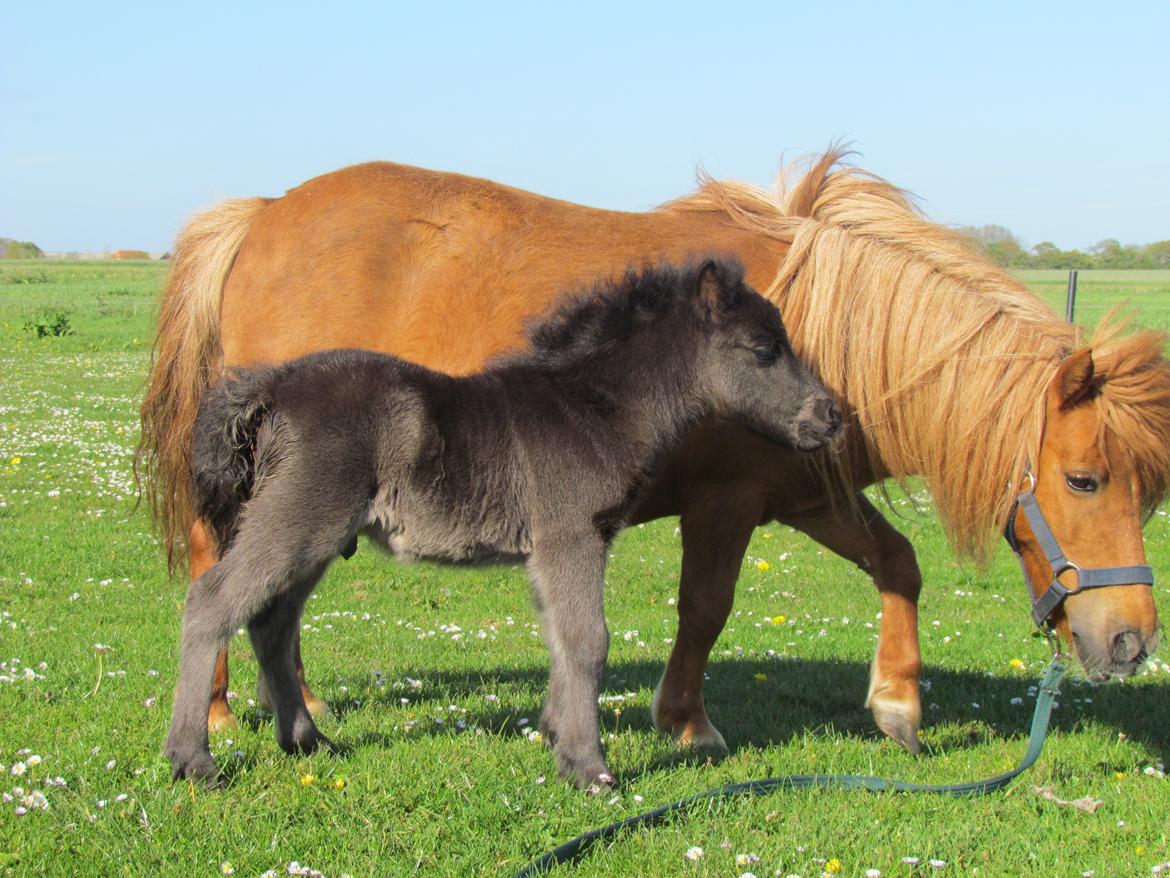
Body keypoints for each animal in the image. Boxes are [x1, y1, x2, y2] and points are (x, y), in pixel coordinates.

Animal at [139, 148, 1170, 753]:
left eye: (1146, 496)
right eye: (1083, 479)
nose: (1129, 643)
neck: (823, 332)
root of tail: (262, 212)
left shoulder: (806, 492)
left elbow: (898, 563)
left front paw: (898, 705)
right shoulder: (726, 504)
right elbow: (704, 611)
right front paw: (687, 723)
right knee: (227, 579)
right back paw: (239, 712)